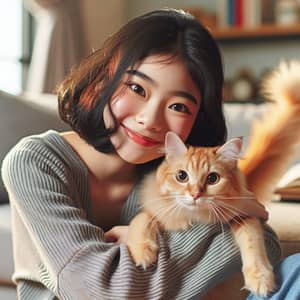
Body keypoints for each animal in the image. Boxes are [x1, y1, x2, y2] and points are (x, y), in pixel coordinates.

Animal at [125, 59, 300, 296]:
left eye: (212, 179)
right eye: (182, 176)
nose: (195, 194)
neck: (196, 218)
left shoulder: (245, 217)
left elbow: (253, 241)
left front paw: (260, 278)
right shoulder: (156, 211)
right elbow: (140, 221)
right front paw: (143, 251)